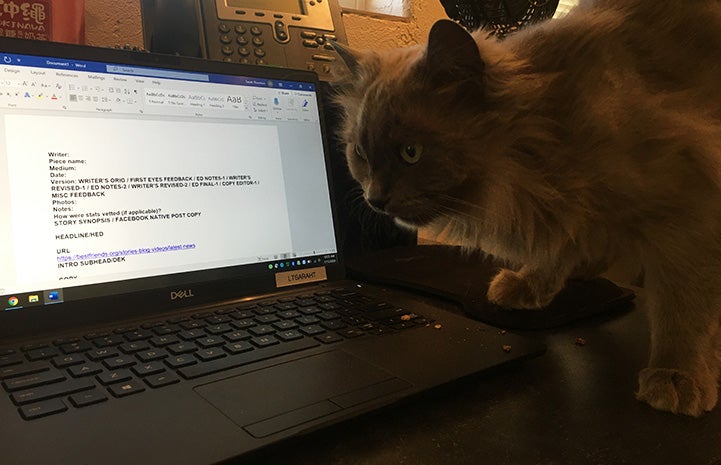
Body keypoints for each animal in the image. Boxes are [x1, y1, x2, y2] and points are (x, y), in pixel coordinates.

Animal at [332, 0, 720, 414]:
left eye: (411, 152)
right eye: (360, 153)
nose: (375, 198)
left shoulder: (689, 211)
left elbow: (683, 309)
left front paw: (676, 373)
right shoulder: (563, 204)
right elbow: (557, 246)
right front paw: (531, 284)